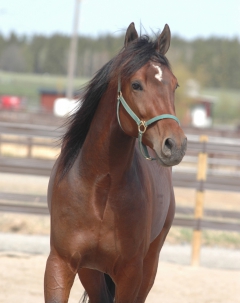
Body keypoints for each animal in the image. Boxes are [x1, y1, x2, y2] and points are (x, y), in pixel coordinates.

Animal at [45, 22, 188, 302]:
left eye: (174, 85)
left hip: (149, 266)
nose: (174, 145)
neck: (100, 187)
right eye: (136, 85)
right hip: (90, 272)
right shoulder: (60, 263)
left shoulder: (130, 273)